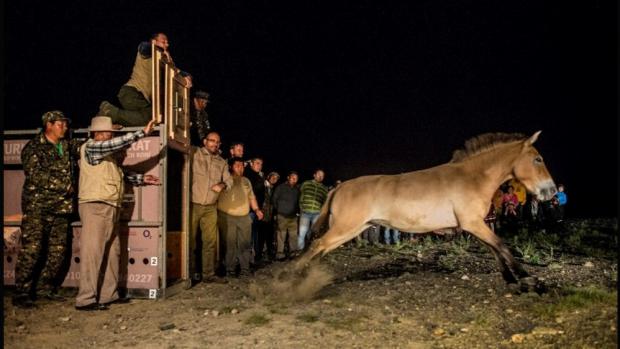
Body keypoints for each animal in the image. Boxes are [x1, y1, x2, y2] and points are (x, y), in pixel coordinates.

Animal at [296, 130, 556, 290]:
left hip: (352, 229)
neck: (473, 178)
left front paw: (511, 279)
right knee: (316, 246)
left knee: (319, 249)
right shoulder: (473, 223)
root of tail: (338, 188)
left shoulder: (475, 225)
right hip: (345, 227)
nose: (551, 191)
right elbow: (501, 245)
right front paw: (528, 278)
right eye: (538, 159)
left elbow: (494, 249)